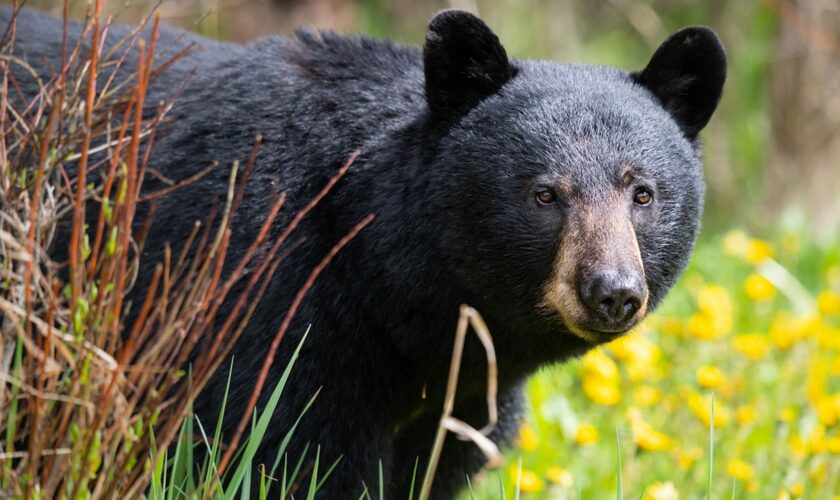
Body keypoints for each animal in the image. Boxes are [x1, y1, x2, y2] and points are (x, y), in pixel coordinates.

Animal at [0, 5, 724, 498]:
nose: (612, 291)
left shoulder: (462, 398)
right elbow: (288, 453)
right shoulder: (268, 306)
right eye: (545, 194)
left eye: (642, 193)